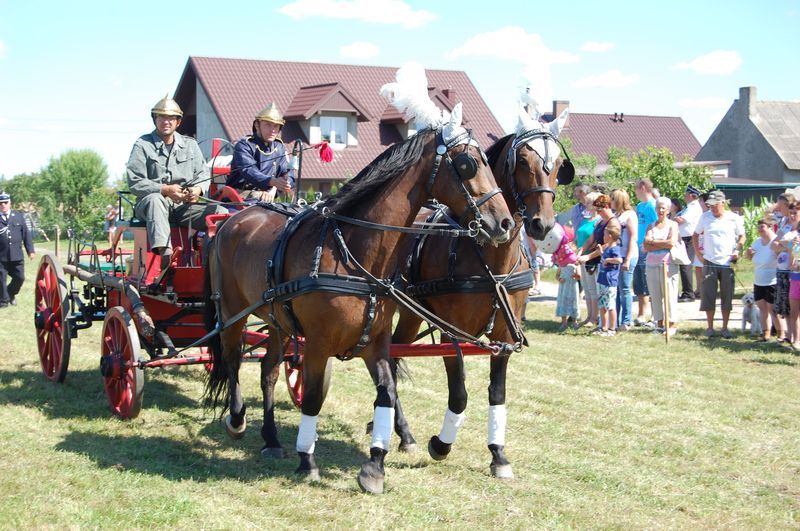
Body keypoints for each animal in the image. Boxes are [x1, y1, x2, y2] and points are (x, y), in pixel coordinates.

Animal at [205, 102, 512, 496]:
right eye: (467, 164)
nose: (504, 223)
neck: (352, 252)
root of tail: (233, 219)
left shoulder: (375, 341)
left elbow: (386, 391)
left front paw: (374, 467)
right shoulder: (318, 343)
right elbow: (314, 398)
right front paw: (308, 460)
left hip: (278, 322)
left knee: (269, 369)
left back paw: (271, 439)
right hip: (233, 311)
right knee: (231, 359)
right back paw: (237, 418)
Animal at [390, 106, 572, 480]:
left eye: (560, 165)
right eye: (523, 161)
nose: (543, 225)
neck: (491, 261)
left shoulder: (505, 333)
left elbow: (497, 393)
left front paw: (498, 454)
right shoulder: (451, 333)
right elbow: (459, 393)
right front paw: (441, 444)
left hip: (412, 314)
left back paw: (402, 433)